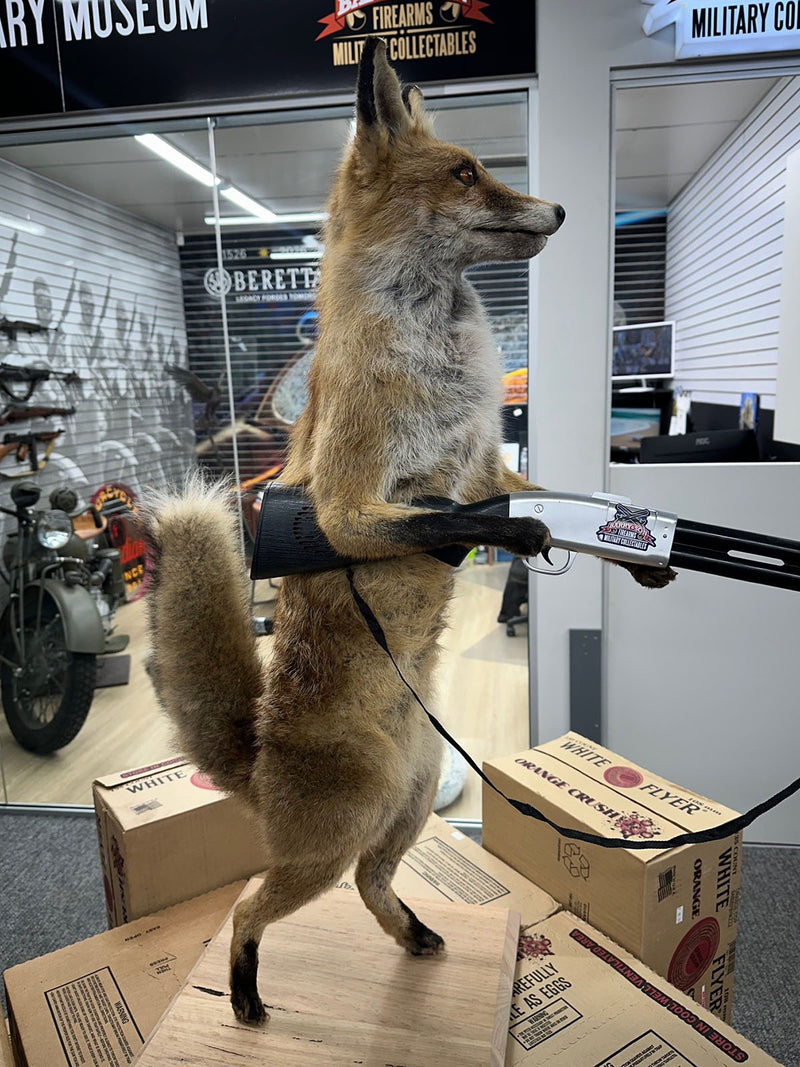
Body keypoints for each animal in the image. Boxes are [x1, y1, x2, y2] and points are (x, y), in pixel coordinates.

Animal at [143, 37, 675, 1027]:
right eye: (467, 174)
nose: (562, 209)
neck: (437, 350)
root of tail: (260, 756)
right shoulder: (348, 506)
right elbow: (466, 518)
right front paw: (529, 536)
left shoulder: (488, 461)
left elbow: (544, 500)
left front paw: (637, 555)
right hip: (343, 830)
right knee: (248, 905)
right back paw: (243, 996)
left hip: (414, 802)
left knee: (370, 885)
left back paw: (420, 938)